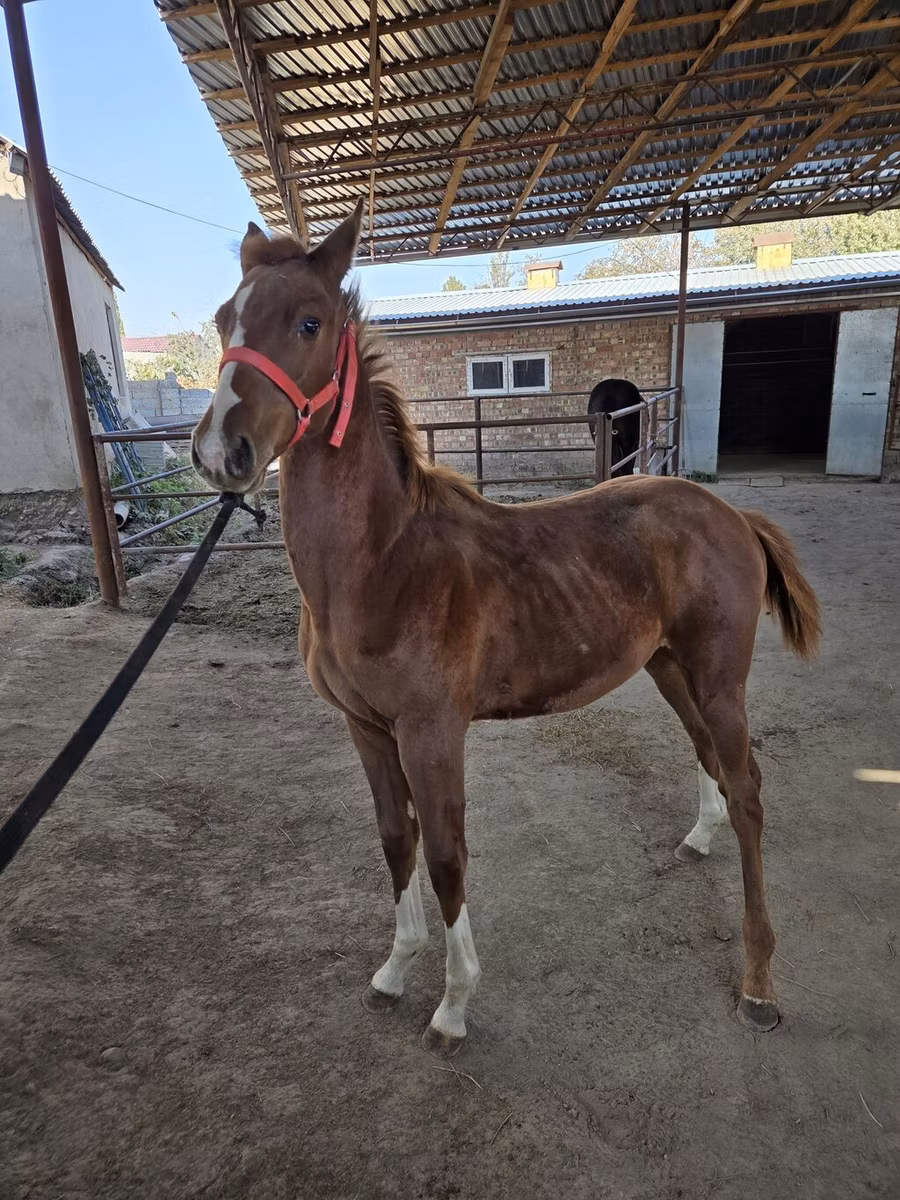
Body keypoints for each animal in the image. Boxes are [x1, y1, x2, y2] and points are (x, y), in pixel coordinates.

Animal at [191, 201, 821, 1058]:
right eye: (226, 319)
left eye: (309, 323)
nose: (221, 452)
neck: (382, 563)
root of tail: (731, 515)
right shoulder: (365, 727)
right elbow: (396, 839)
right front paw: (395, 970)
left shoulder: (430, 731)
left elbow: (447, 853)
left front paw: (453, 1005)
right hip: (667, 666)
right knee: (711, 759)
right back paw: (697, 840)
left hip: (721, 678)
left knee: (751, 789)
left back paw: (758, 981)